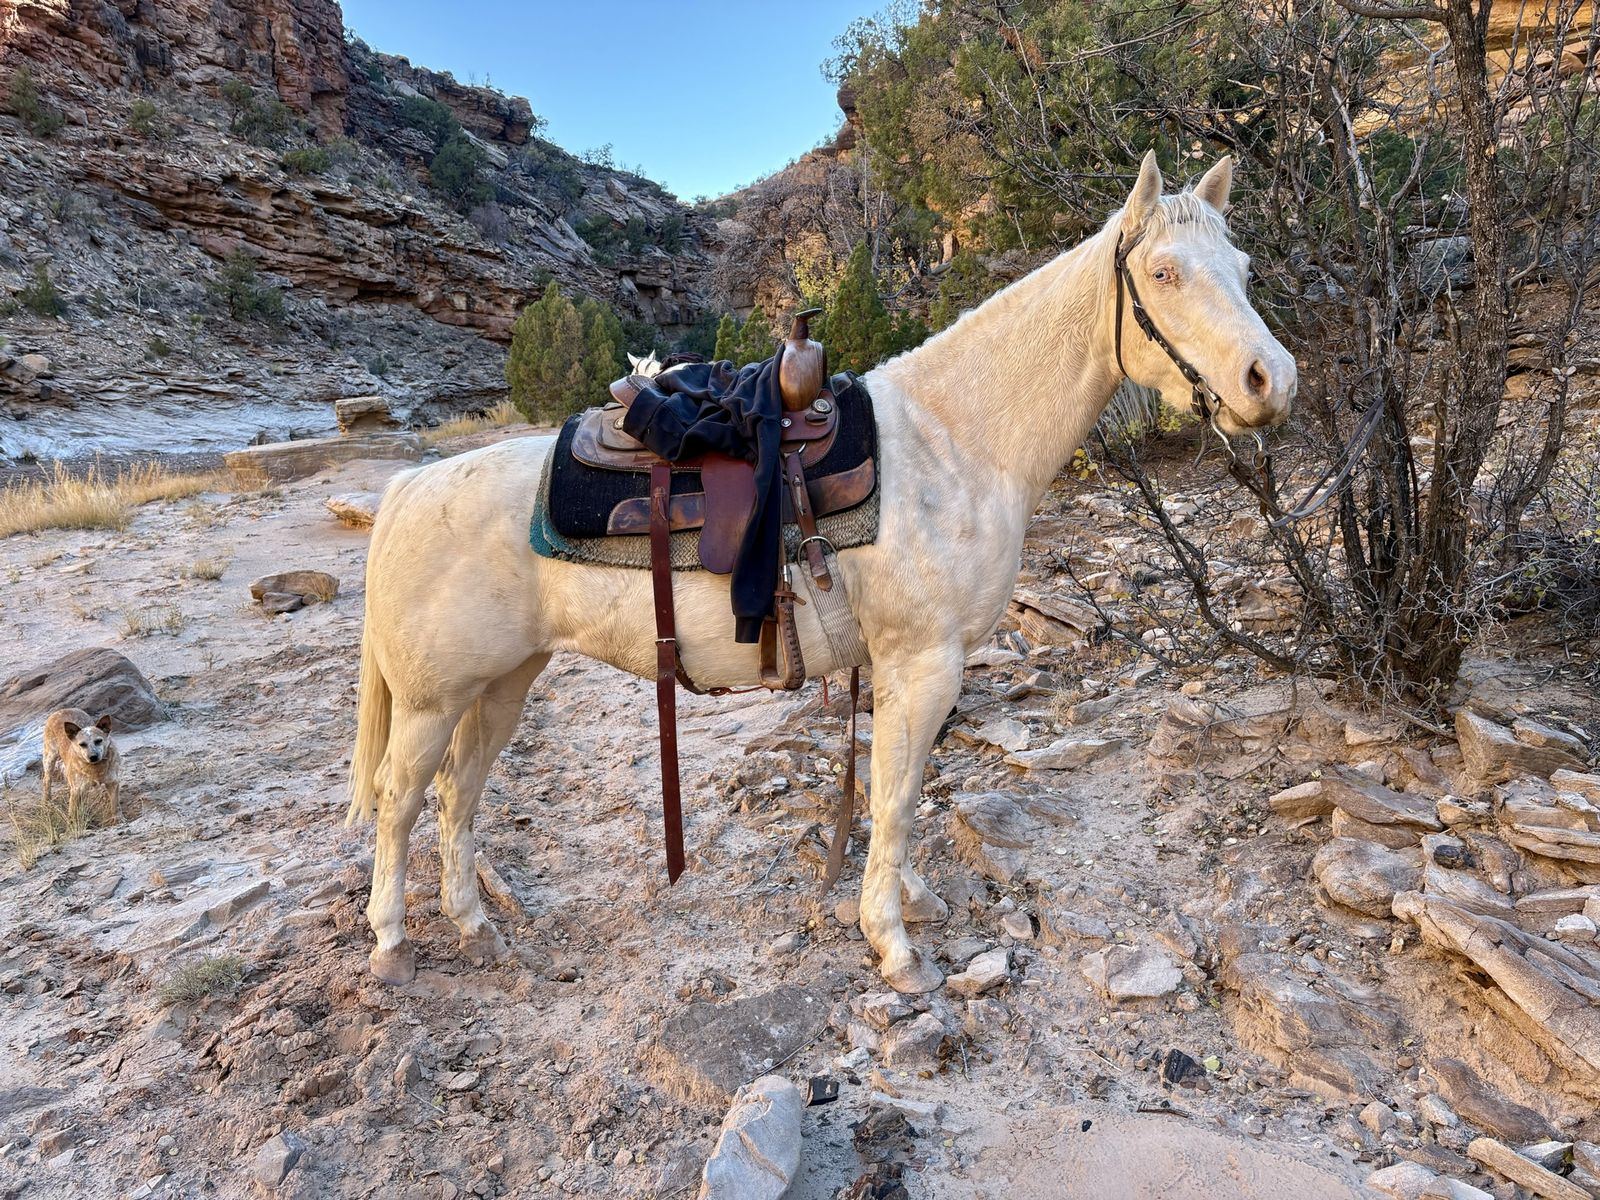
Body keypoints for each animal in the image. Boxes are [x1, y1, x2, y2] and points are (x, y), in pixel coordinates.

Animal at [344, 152, 1296, 994]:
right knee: (400, 797)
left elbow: (888, 790)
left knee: (458, 793)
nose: (1272, 380)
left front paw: (905, 899)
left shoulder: (898, 667)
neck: (955, 440)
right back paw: (390, 943)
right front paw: (894, 942)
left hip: (504, 681)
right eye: (1165, 273)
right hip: (433, 699)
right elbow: (901, 796)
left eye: (1243, 267)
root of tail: (407, 488)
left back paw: (473, 925)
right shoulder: (926, 662)